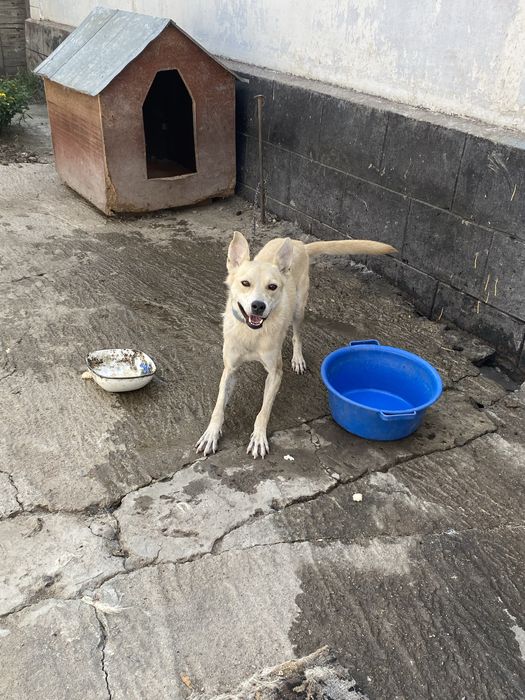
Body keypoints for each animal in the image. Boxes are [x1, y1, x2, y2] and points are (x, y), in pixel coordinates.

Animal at [196, 232, 396, 458]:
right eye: (245, 283)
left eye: (272, 286)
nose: (258, 306)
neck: (252, 333)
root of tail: (300, 244)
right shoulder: (230, 369)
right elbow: (219, 406)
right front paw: (211, 434)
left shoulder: (275, 373)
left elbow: (264, 411)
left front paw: (259, 437)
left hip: (299, 310)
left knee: (297, 336)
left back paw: (298, 358)